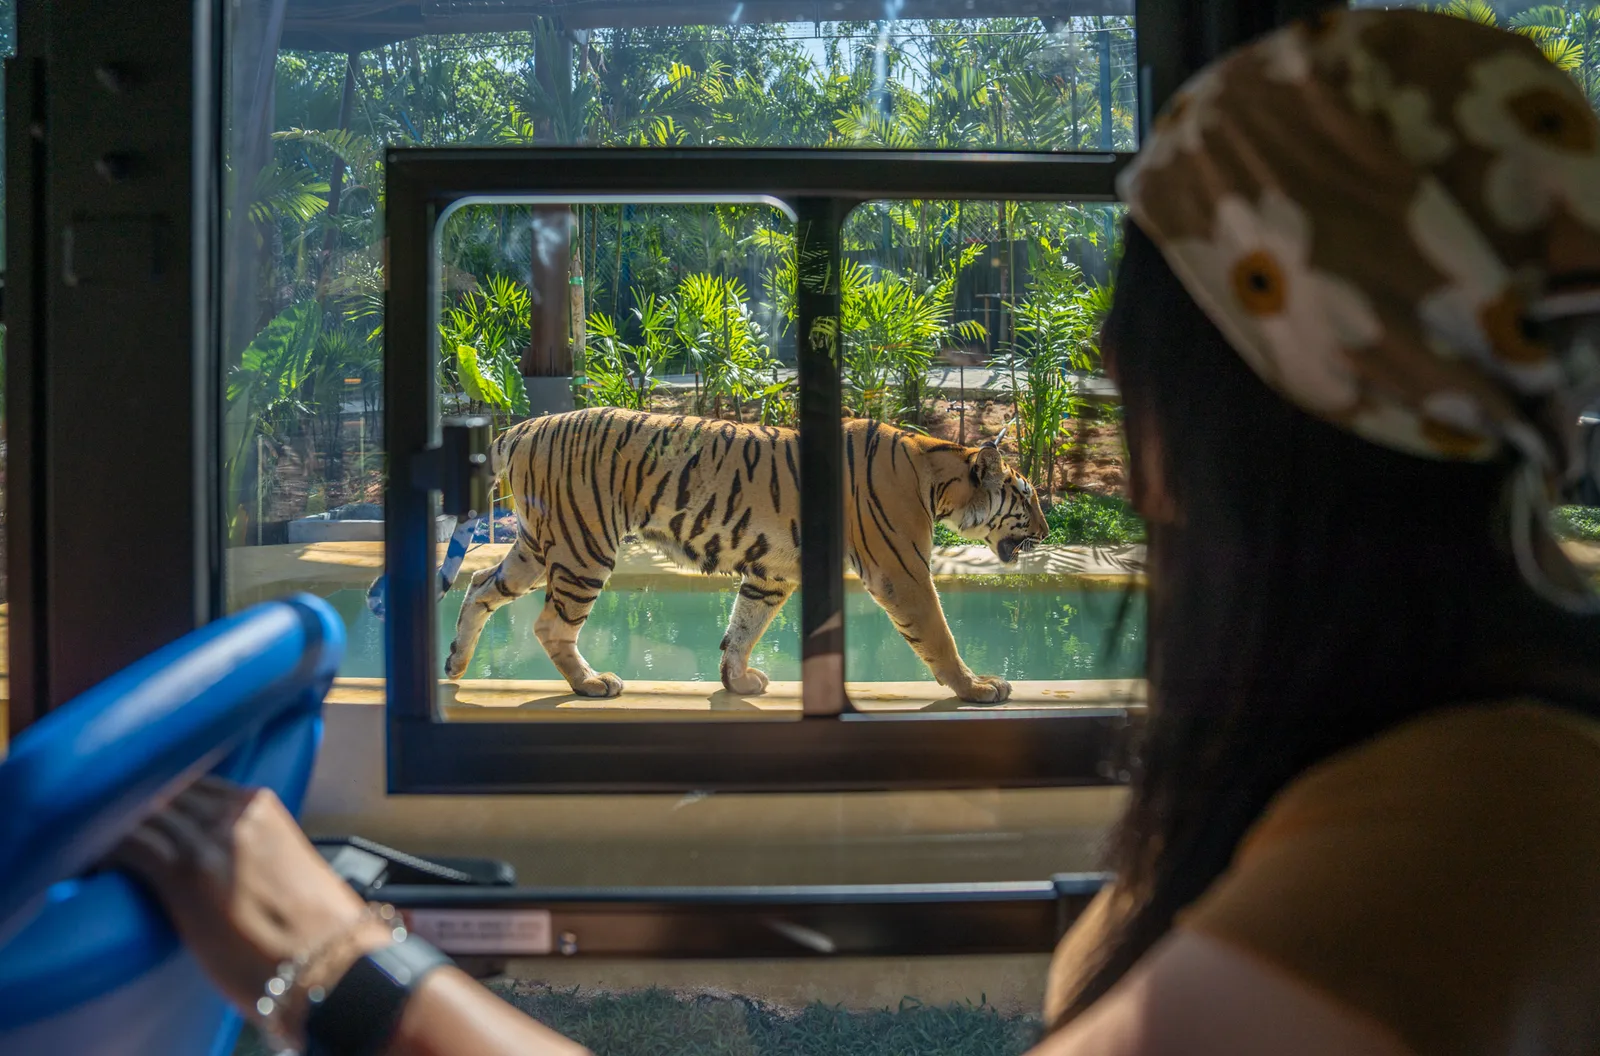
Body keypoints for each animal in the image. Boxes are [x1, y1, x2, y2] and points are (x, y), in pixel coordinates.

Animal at [440, 407, 1048, 703]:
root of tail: (523, 426)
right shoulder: (902, 571)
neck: (936, 477)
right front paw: (978, 688)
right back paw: (591, 684)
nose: (1044, 531)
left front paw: (737, 682)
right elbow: (939, 636)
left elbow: (743, 626)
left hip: (540, 543)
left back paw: (456, 664)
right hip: (583, 545)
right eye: (1026, 496)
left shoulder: (772, 571)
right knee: (550, 624)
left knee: (479, 586)